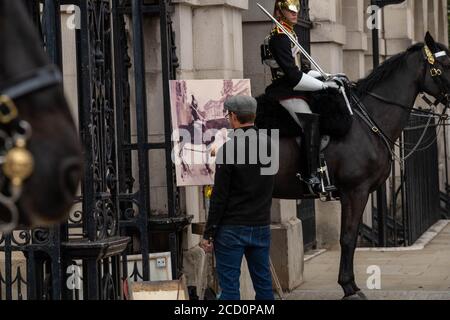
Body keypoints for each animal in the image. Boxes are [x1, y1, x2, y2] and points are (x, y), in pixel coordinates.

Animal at [260, 33, 450, 300]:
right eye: (445, 65)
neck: (366, 122)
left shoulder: (360, 193)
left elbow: (350, 234)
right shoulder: (355, 191)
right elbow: (348, 238)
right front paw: (349, 287)